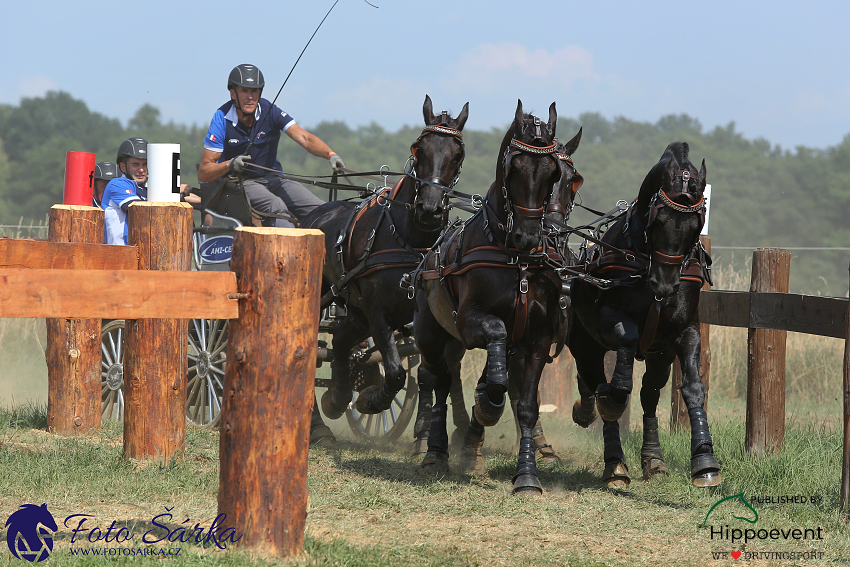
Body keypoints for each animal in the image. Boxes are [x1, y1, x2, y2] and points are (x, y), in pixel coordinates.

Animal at [302, 96, 468, 422]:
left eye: (458, 155)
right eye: (418, 148)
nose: (429, 209)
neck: (410, 243)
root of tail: (314, 213)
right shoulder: (378, 310)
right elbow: (394, 371)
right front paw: (370, 400)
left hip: (355, 309)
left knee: (340, 340)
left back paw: (337, 398)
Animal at [410, 100, 584, 494]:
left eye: (556, 174)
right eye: (513, 167)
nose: (530, 234)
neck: (515, 258)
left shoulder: (538, 338)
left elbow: (526, 403)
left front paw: (528, 475)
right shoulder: (470, 322)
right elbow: (495, 343)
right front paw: (485, 409)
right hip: (430, 333)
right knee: (437, 380)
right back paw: (434, 452)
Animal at [568, 141, 720, 488]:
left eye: (696, 225)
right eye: (658, 219)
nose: (664, 284)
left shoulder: (684, 330)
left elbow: (693, 389)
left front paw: (704, 460)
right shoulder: (607, 317)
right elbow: (627, 338)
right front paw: (612, 395)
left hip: (659, 356)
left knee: (648, 395)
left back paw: (653, 460)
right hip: (584, 345)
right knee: (596, 384)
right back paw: (613, 461)